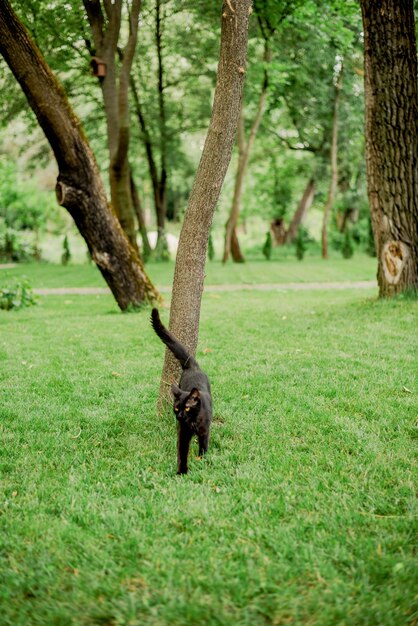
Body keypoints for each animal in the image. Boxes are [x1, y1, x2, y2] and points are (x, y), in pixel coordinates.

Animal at [150, 308, 212, 472]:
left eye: (188, 408)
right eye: (177, 408)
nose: (180, 417)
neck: (193, 422)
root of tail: (192, 366)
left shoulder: (204, 431)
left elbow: (203, 446)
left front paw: (202, 459)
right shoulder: (183, 432)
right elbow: (182, 450)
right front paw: (182, 470)